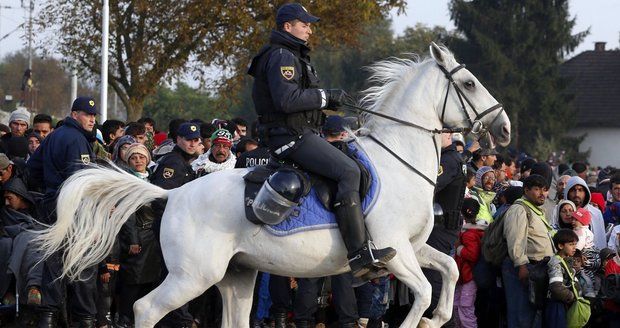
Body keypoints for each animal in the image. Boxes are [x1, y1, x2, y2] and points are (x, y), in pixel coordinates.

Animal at [38, 43, 512, 328]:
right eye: (468, 83)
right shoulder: (391, 250)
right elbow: (423, 290)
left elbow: (449, 270)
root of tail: (172, 193)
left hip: (237, 277)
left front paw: (437, 317)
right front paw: (424, 319)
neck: (399, 159)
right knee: (144, 307)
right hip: (194, 275)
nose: (505, 129)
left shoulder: (411, 248)